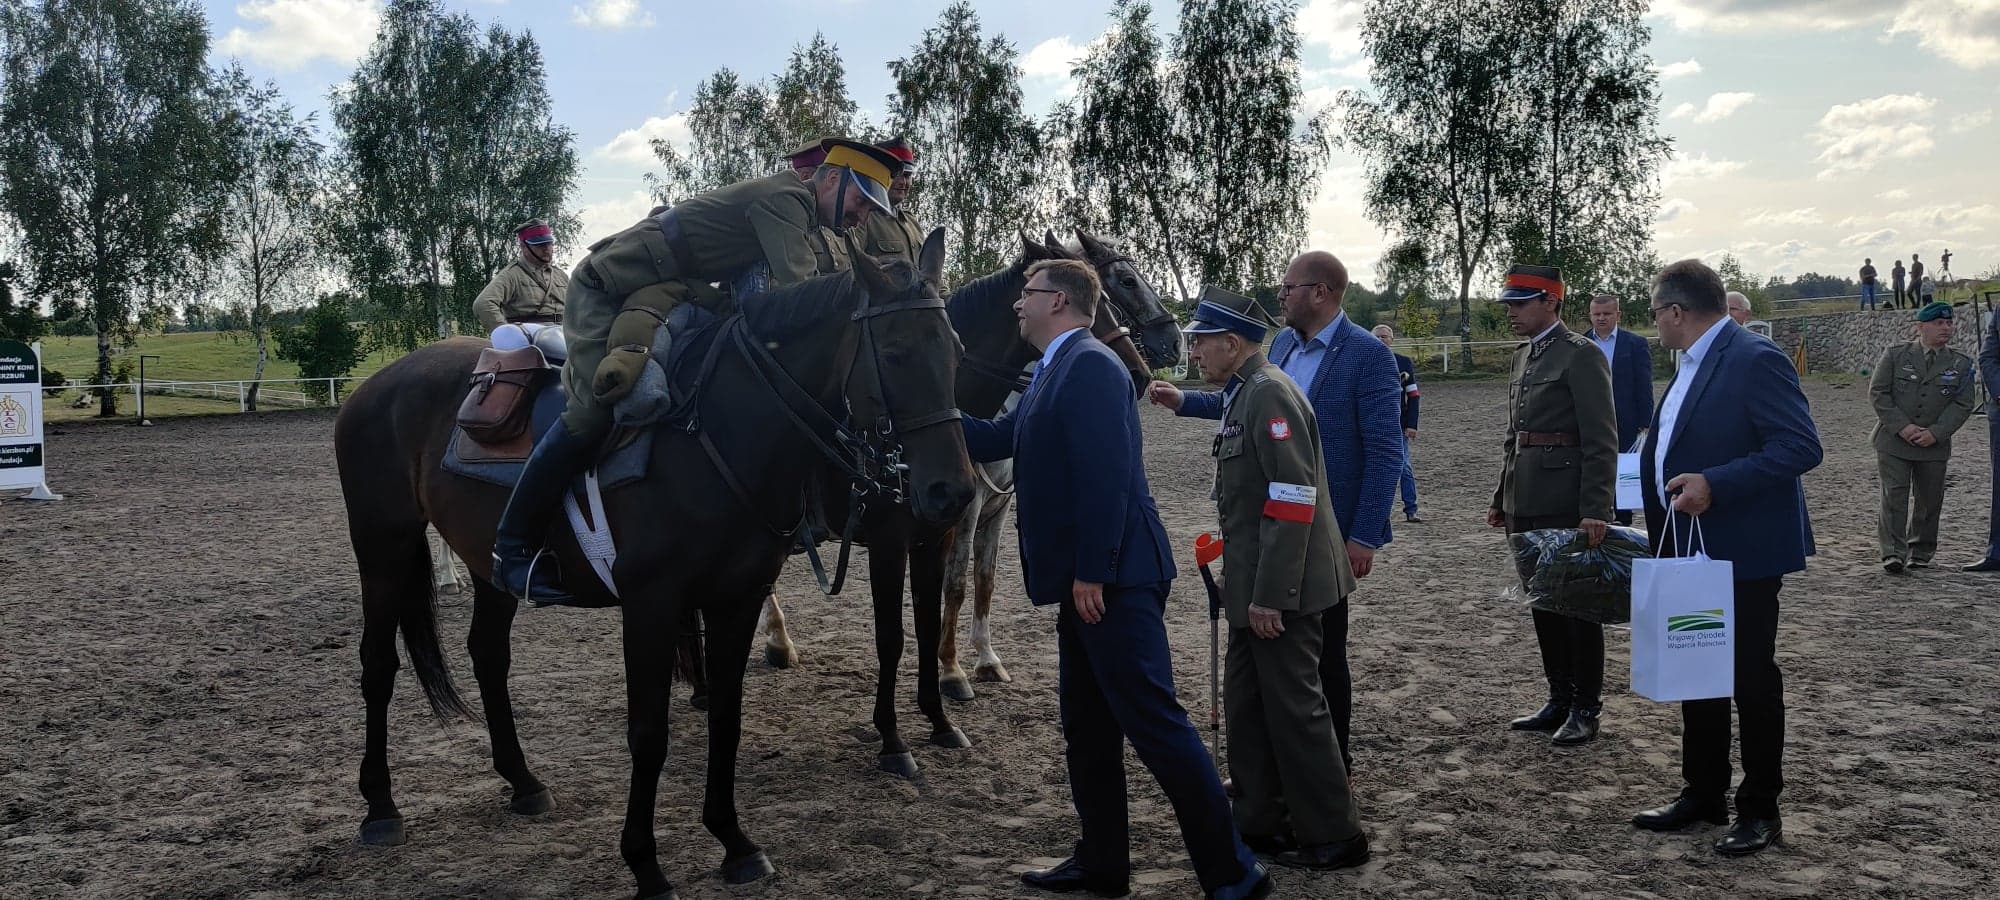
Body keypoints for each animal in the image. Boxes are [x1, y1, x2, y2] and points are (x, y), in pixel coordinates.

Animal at [332, 236, 972, 896]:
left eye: (955, 352)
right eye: (895, 352)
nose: (951, 492)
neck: (717, 430)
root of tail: (375, 387)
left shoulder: (738, 597)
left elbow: (727, 715)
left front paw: (734, 842)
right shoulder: (652, 604)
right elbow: (648, 733)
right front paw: (646, 864)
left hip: (491, 570)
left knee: (487, 655)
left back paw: (523, 782)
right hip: (382, 548)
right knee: (378, 665)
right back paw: (381, 808)